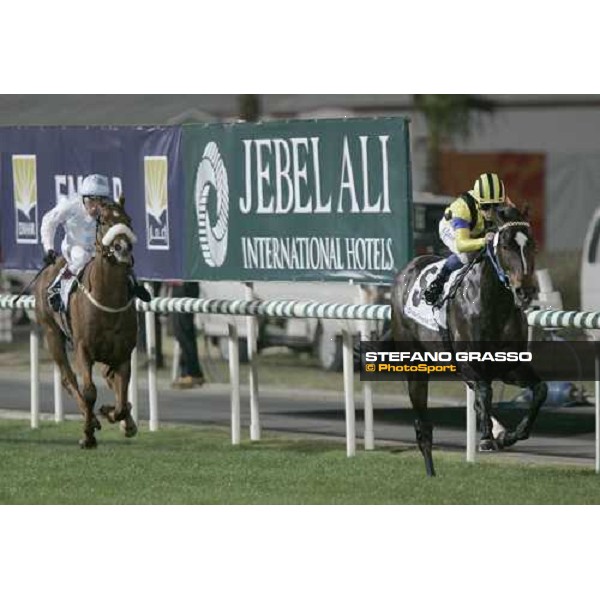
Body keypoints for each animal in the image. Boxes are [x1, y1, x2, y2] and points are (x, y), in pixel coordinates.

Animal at [34, 199, 138, 448]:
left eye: (128, 220)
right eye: (105, 221)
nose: (123, 248)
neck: (107, 300)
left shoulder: (123, 352)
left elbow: (122, 399)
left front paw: (113, 414)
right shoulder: (83, 348)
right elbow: (89, 391)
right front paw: (88, 433)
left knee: (109, 379)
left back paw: (126, 422)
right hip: (51, 333)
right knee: (67, 378)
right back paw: (91, 419)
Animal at [390, 207, 548, 478]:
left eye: (533, 245)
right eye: (505, 245)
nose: (525, 291)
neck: (494, 304)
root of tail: (407, 270)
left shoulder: (509, 366)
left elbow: (540, 390)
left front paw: (508, 435)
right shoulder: (470, 363)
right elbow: (485, 391)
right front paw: (487, 438)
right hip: (415, 364)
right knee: (423, 425)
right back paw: (430, 471)